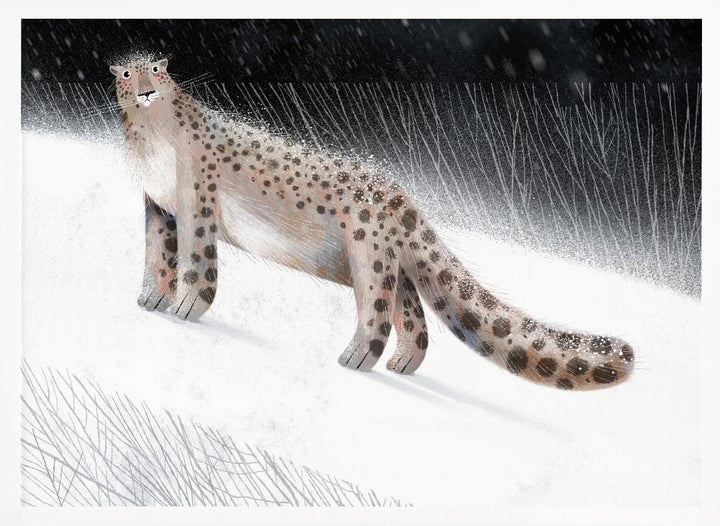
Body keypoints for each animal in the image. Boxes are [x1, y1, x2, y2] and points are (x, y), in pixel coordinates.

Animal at [110, 56, 635, 390]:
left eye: (158, 70)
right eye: (127, 73)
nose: (147, 90)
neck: (151, 143)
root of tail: (403, 197)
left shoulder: (196, 205)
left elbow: (197, 262)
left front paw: (184, 306)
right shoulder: (159, 207)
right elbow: (157, 254)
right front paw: (150, 298)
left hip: (368, 253)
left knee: (379, 310)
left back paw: (356, 358)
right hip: (388, 263)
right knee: (414, 314)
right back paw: (403, 363)